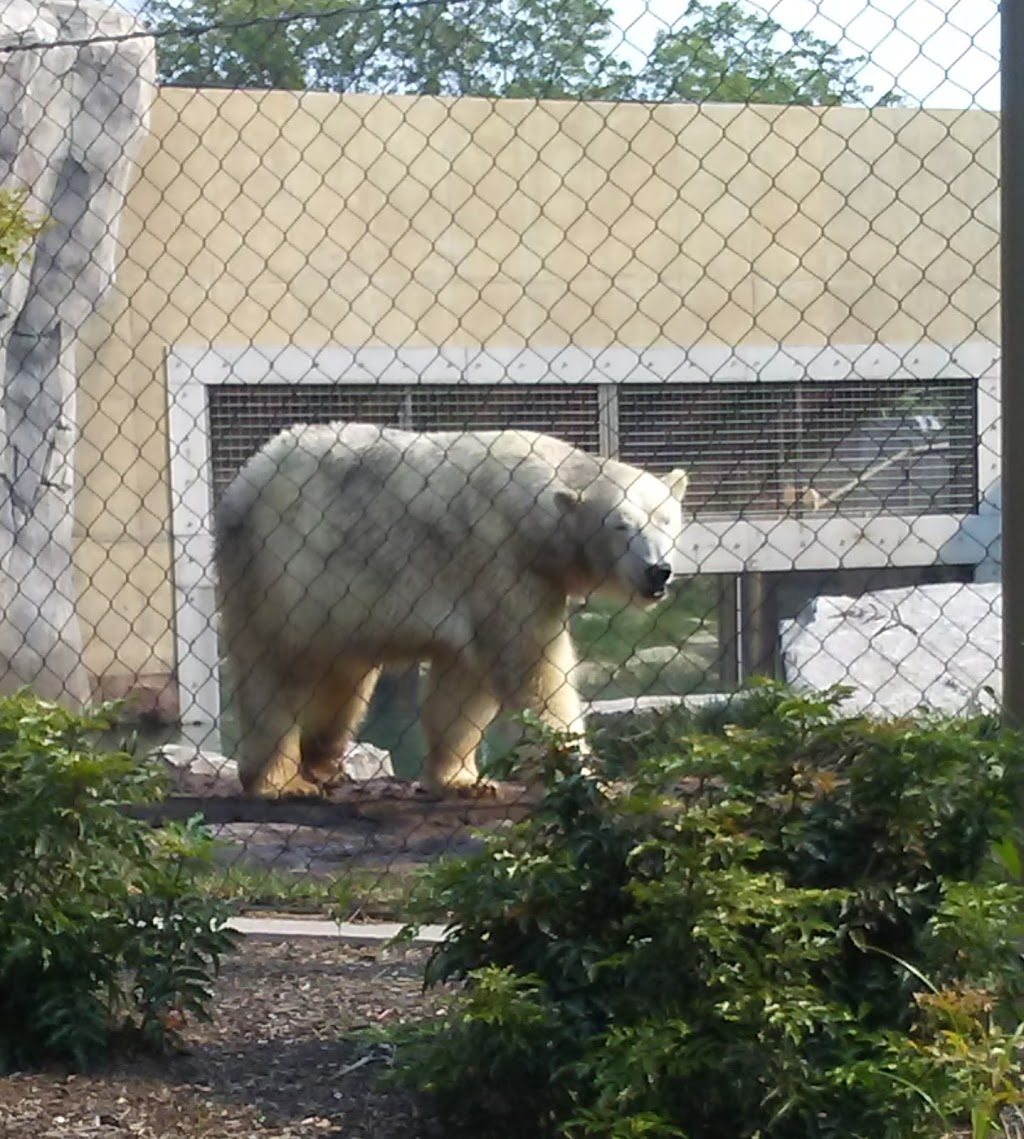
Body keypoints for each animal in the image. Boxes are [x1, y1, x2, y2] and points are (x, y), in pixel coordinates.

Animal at [215, 423, 687, 797]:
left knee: (343, 675)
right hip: (279, 571)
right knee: (277, 673)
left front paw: (464, 781)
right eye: (621, 525)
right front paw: (583, 776)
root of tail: (245, 477)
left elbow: (464, 686)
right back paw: (280, 781)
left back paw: (322, 764)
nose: (658, 571)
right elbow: (533, 671)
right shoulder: (502, 560)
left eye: (666, 519)